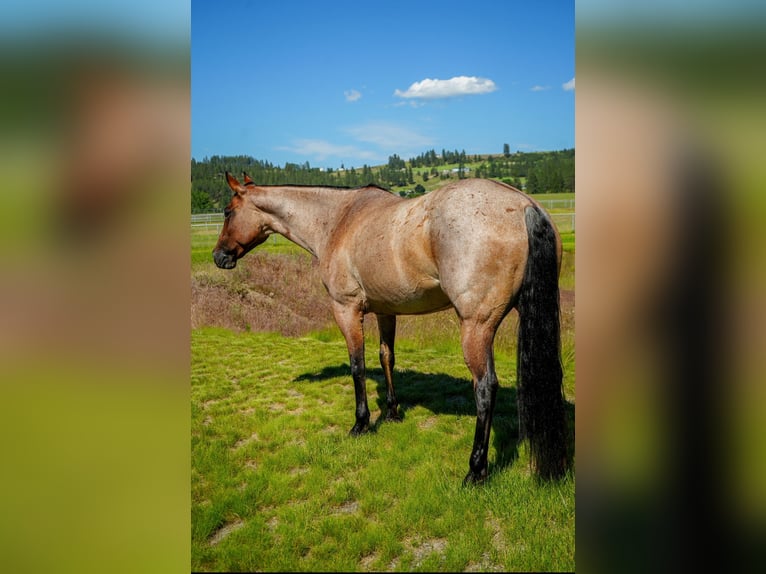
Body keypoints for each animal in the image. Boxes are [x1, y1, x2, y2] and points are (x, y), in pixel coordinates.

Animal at [213, 172, 569, 483]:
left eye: (228, 212)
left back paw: (476, 470)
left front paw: (361, 423)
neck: (338, 220)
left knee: (485, 387)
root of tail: (524, 205)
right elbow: (387, 357)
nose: (219, 256)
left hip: (476, 327)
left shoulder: (346, 309)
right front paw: (392, 411)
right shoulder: (386, 311)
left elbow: (357, 365)